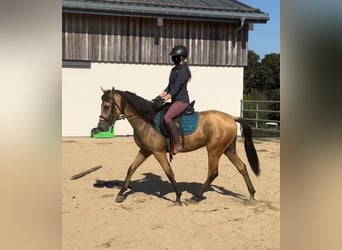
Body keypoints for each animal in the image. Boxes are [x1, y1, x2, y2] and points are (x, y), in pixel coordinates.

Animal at [96, 87, 260, 204]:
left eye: (107, 105)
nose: (101, 127)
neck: (147, 120)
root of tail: (232, 117)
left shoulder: (158, 152)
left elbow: (169, 172)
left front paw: (178, 197)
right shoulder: (145, 150)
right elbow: (131, 169)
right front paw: (120, 193)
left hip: (214, 150)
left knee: (213, 173)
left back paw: (196, 197)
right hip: (228, 149)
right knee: (242, 167)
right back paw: (251, 195)